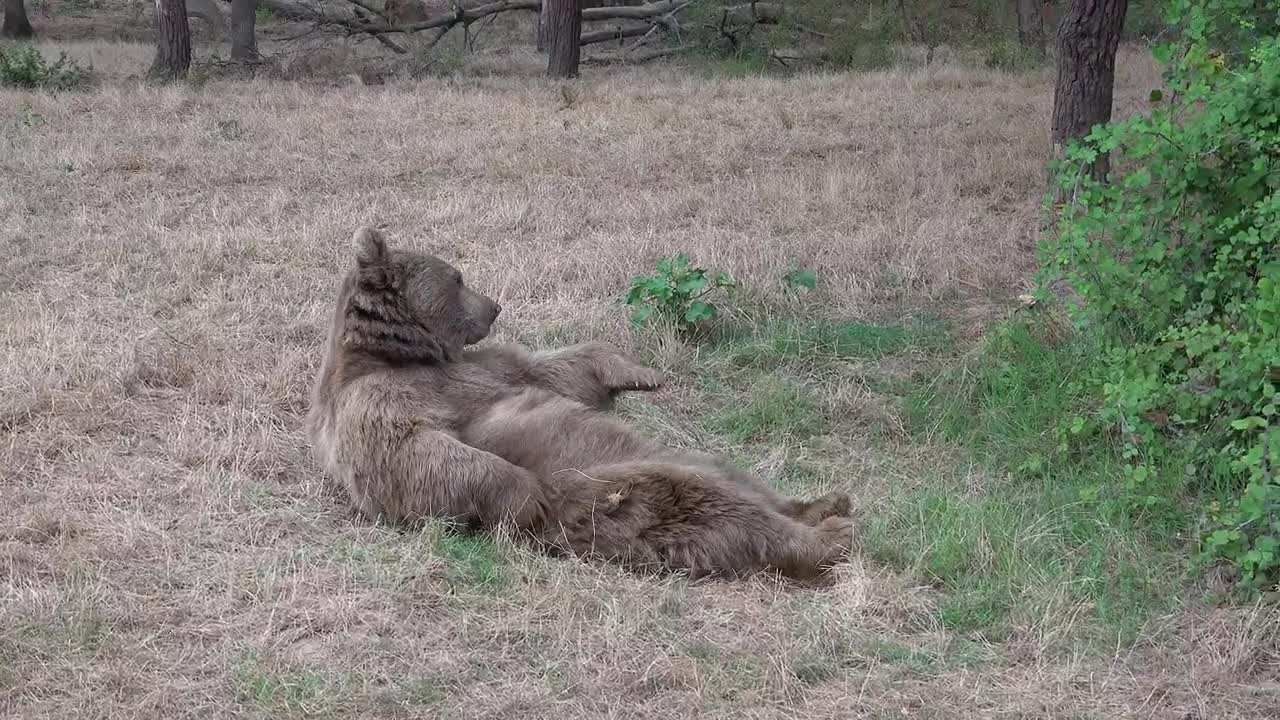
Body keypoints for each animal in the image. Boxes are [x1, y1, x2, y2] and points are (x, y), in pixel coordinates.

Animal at [305, 226, 856, 581]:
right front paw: (523, 491)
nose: (495, 305)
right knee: (718, 511)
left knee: (741, 484)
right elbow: (409, 452)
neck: (401, 353)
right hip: (618, 496)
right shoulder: (374, 399)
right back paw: (829, 537)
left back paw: (824, 504)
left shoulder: (490, 368)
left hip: (683, 463)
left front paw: (642, 373)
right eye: (458, 278)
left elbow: (555, 370)